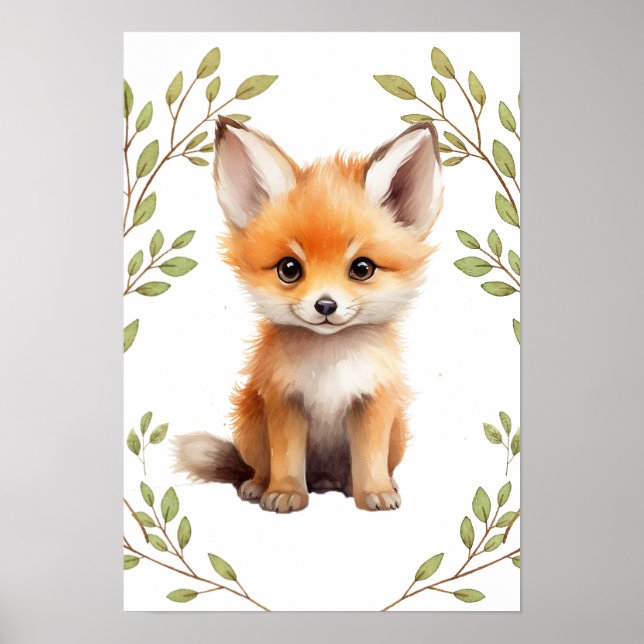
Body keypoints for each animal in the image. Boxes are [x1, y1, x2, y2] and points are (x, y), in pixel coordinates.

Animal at [174, 116, 444, 513]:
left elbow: (370, 459)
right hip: (251, 425)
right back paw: (258, 485)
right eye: (289, 269)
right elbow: (286, 458)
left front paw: (375, 491)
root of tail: (324, 480)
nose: (326, 306)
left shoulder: (373, 401)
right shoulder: (285, 401)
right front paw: (286, 492)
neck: (329, 363)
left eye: (362, 268)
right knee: (260, 467)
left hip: (395, 432)